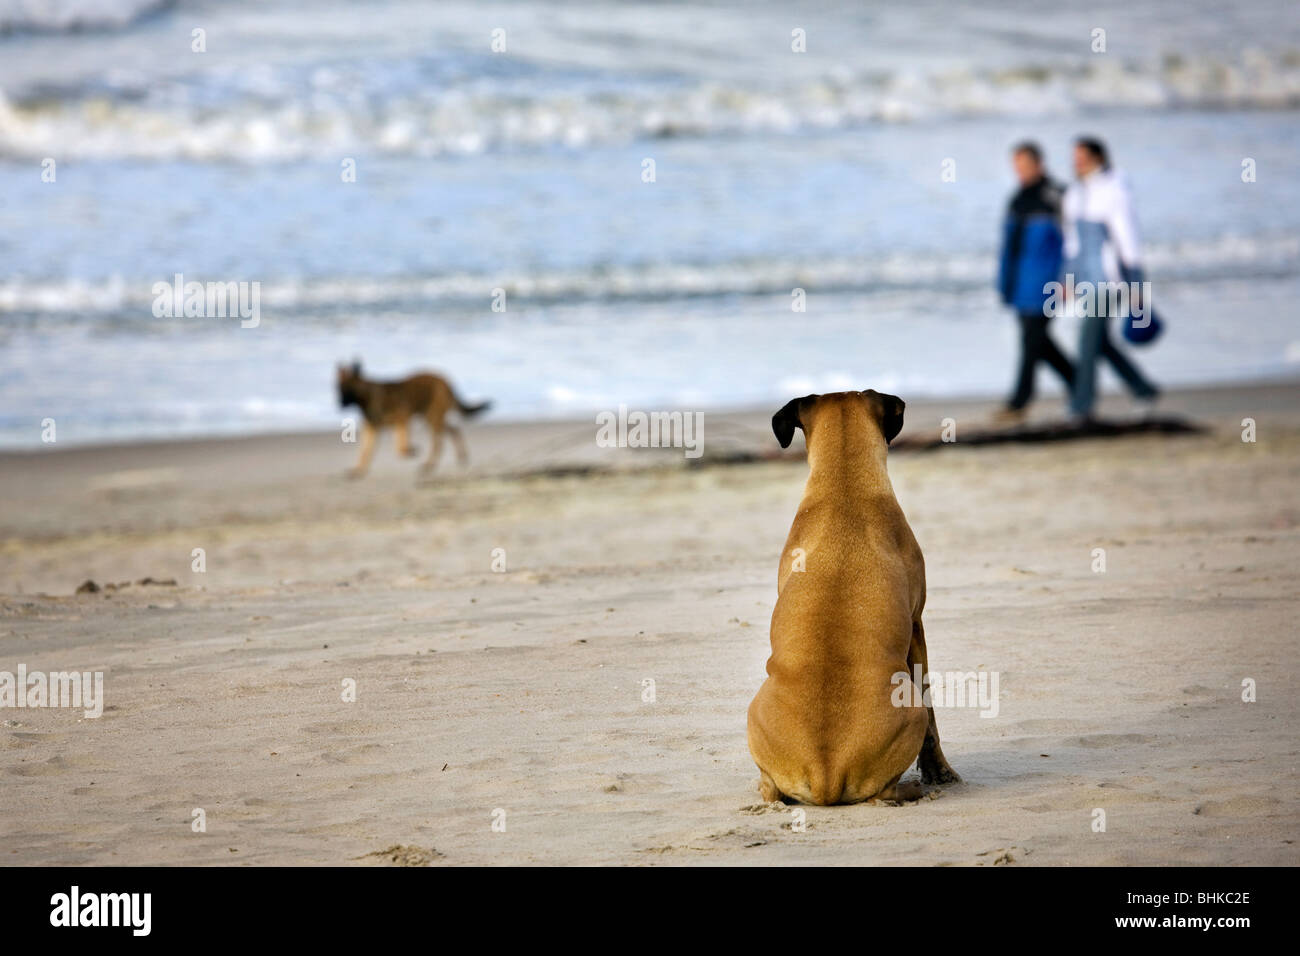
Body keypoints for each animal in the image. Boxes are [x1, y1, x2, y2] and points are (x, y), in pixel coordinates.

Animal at [338, 361, 488, 476]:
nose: (340, 404)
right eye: (337, 389)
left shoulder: (402, 419)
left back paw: (429, 464)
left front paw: (411, 450)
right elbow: (365, 453)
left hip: (432, 418)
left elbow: (400, 448)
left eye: (347, 389)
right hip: (431, 418)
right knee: (454, 430)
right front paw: (358, 470)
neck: (368, 395)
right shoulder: (372, 430)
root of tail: (446, 381)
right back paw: (459, 457)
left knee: (439, 442)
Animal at [748, 392, 961, 806]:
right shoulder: (917, 626)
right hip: (910, 711)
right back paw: (913, 789)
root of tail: (825, 775)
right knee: (888, 788)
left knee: (771, 788)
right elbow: (933, 714)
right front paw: (939, 770)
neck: (844, 484)